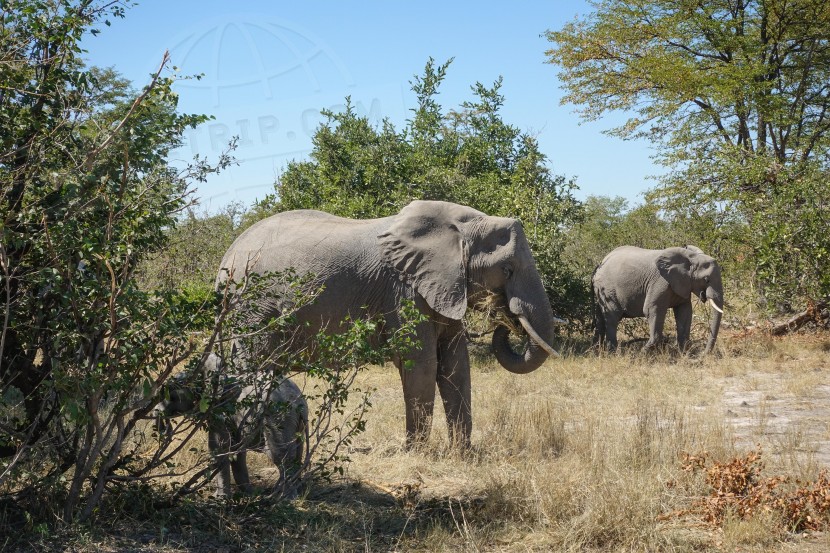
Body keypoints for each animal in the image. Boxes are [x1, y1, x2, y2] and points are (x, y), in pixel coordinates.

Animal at [151, 354, 308, 496]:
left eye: (171, 395)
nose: (163, 427)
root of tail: (301, 404)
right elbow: (236, 450)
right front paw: (249, 493)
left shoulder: (219, 410)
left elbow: (219, 445)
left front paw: (220, 499)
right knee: (296, 453)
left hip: (278, 417)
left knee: (280, 455)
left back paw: (284, 497)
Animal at [218, 201, 564, 446]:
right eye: (507, 270)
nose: (505, 316)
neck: (461, 226)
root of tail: (226, 255)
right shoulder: (404, 289)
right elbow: (422, 363)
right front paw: (417, 454)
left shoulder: (443, 286)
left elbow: (455, 364)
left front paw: (462, 455)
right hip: (249, 307)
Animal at [596, 245, 724, 354]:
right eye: (706, 279)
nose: (701, 354)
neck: (692, 257)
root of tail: (601, 262)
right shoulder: (660, 282)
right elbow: (652, 309)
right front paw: (643, 353)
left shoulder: (682, 283)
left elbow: (685, 311)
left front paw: (683, 353)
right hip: (607, 289)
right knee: (612, 317)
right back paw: (612, 352)